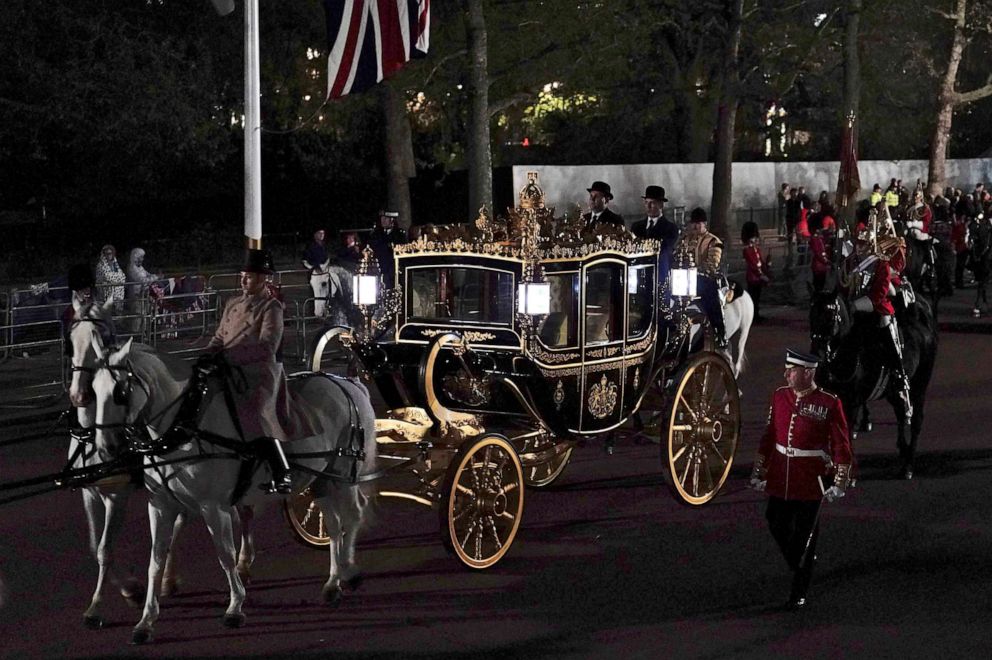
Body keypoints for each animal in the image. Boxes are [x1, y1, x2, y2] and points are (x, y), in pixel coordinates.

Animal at [90, 338, 380, 640]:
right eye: (93, 390)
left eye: (120, 392)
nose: (105, 448)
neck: (185, 431)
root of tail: (347, 382)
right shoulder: (160, 506)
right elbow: (155, 561)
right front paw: (146, 620)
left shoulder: (213, 506)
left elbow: (225, 555)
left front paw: (235, 607)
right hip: (320, 479)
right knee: (334, 525)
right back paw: (333, 583)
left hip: (343, 473)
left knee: (353, 515)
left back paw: (349, 571)